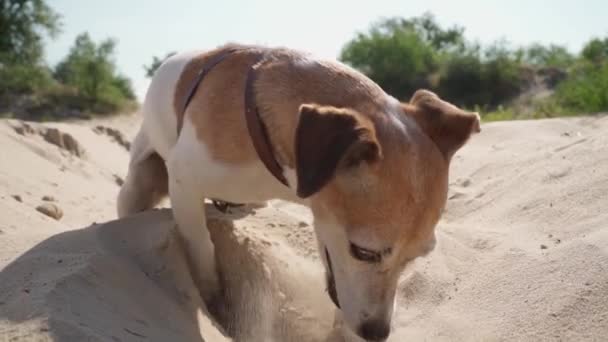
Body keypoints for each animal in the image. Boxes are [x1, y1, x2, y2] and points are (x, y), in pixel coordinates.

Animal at [117, 44, 480, 340]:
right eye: (364, 252)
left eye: (417, 257)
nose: (376, 333)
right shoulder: (185, 183)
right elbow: (202, 251)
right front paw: (217, 304)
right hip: (139, 182)